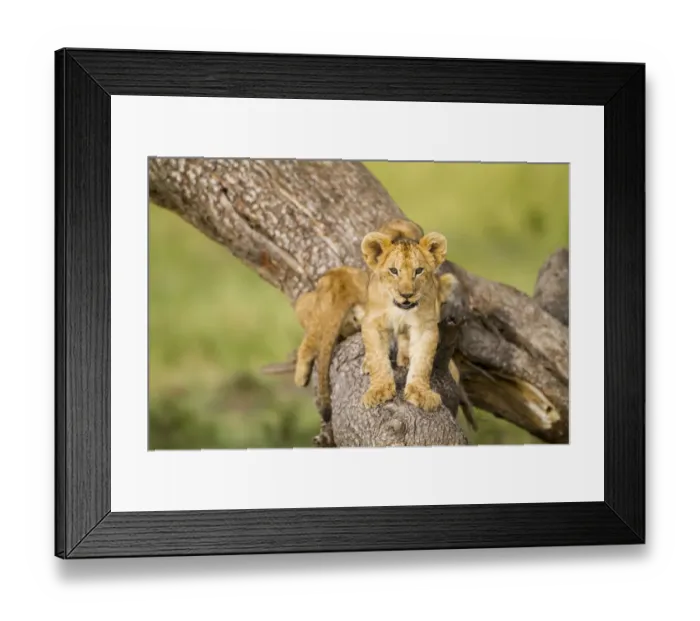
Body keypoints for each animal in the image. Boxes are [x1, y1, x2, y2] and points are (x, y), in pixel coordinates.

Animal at [359, 227, 448, 411]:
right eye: (393, 271)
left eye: (419, 270)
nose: (406, 295)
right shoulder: (372, 323)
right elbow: (377, 358)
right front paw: (379, 391)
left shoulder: (425, 325)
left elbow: (422, 361)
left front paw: (420, 393)